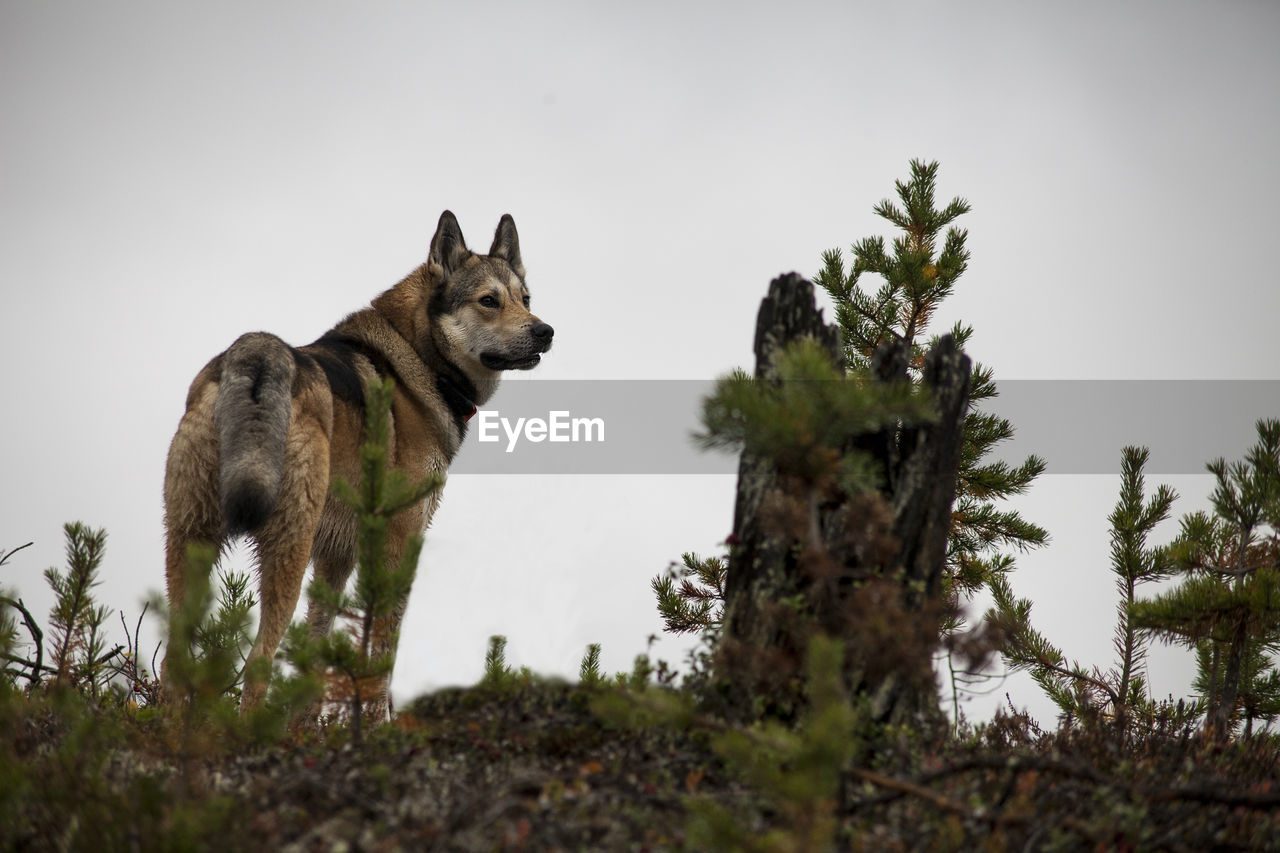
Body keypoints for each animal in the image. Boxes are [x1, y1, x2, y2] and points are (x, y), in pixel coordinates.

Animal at [158, 208, 550, 706]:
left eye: (526, 299)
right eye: (489, 301)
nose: (546, 331)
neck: (418, 360)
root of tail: (256, 352)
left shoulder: (336, 557)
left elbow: (317, 662)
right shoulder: (397, 547)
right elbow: (379, 665)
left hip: (192, 538)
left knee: (175, 660)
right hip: (287, 548)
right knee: (258, 662)